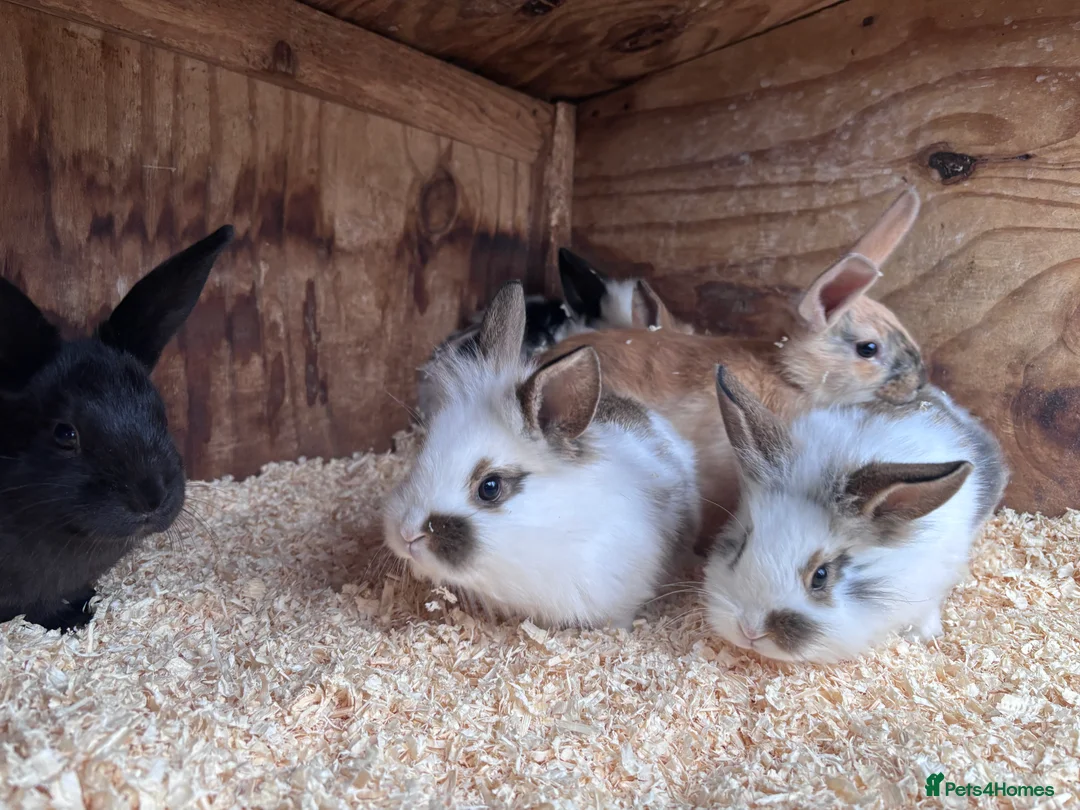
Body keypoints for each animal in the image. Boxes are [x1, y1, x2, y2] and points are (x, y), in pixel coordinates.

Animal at [0, 225, 234, 632]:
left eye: (160, 412)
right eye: (65, 434)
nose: (151, 499)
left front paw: (86, 598)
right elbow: (36, 606)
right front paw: (71, 619)